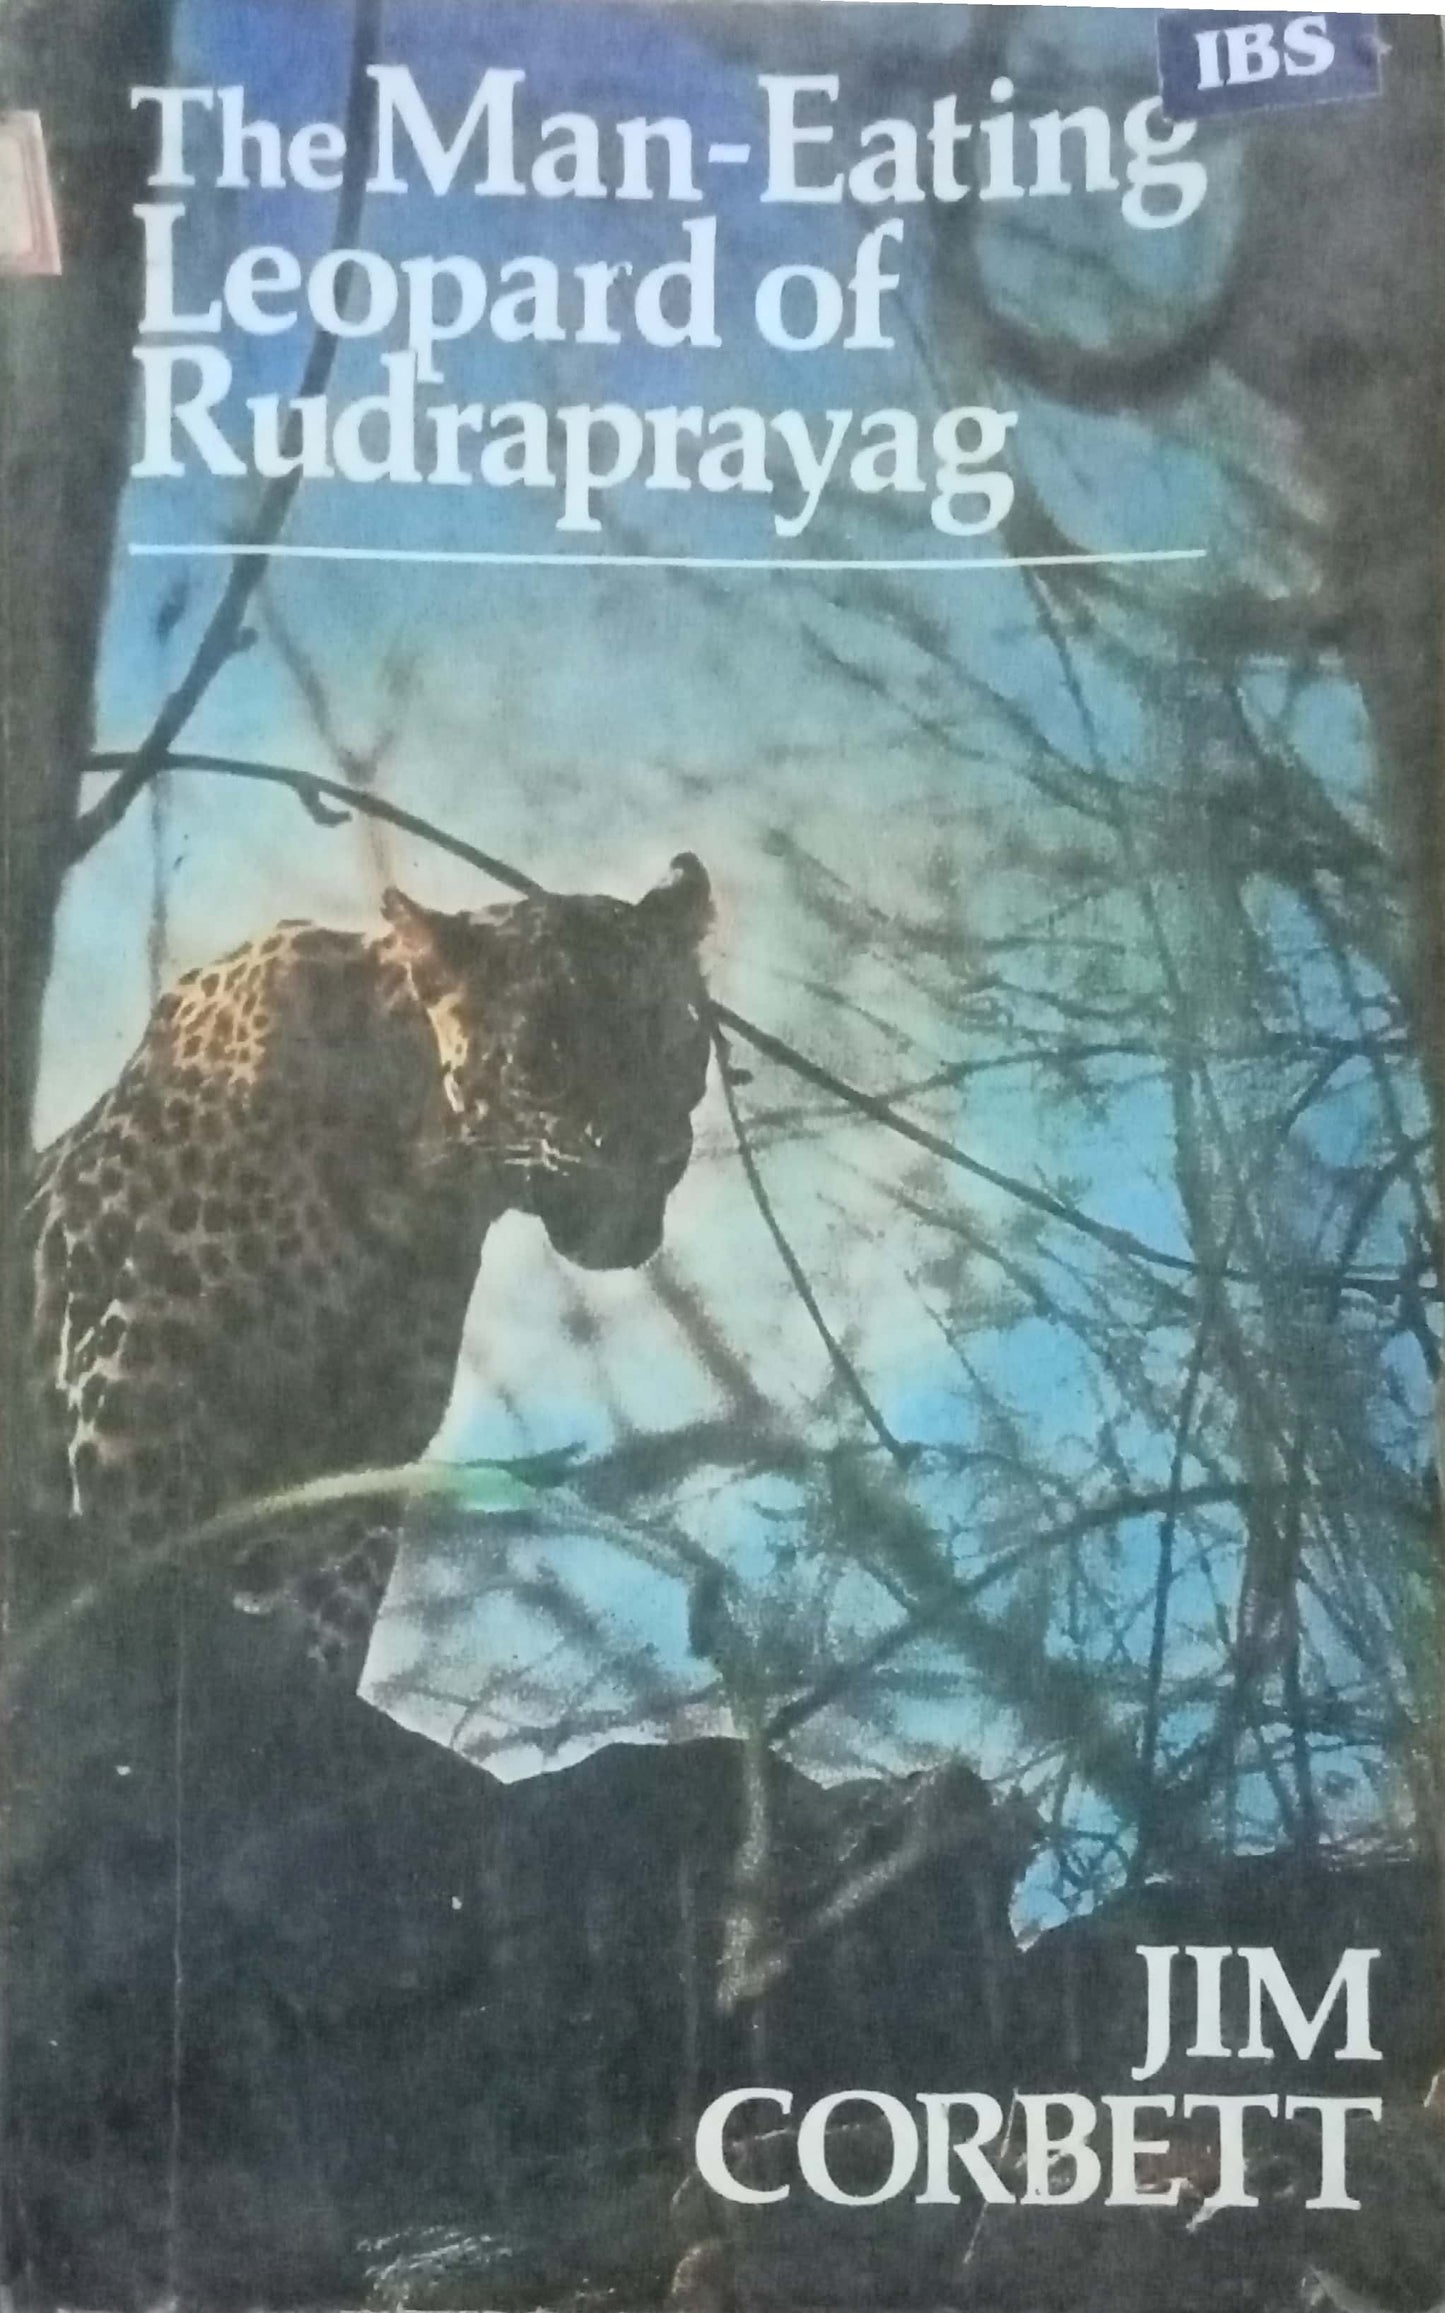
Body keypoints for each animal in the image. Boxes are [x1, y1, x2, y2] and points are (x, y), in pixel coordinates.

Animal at [22, 854, 713, 1682]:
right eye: (544, 1055)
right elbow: (154, 1571)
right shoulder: (134, 1393)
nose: (651, 1149)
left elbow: (332, 1621)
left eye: (674, 1041)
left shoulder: (367, 1459)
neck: (412, 1182)